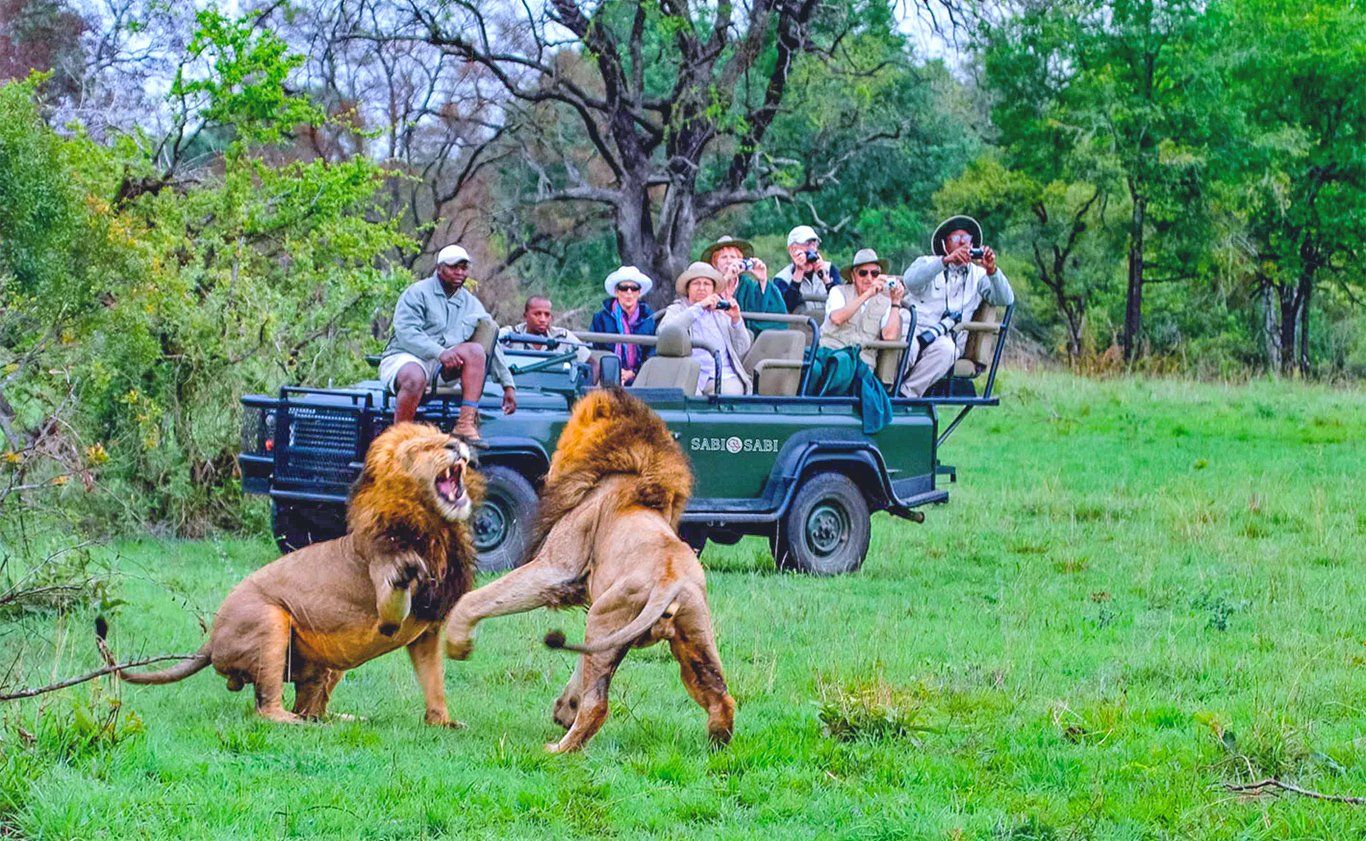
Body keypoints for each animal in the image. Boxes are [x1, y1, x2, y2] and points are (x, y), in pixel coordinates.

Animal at [99, 423, 482, 725]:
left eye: (444, 436)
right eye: (421, 448)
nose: (456, 445)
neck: (437, 528)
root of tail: (210, 640)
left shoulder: (428, 630)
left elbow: (434, 682)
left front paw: (442, 722)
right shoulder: (385, 593)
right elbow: (393, 600)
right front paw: (409, 568)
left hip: (327, 662)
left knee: (311, 706)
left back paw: (341, 718)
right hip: (270, 622)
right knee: (267, 709)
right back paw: (298, 723)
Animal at [443, 388, 735, 753]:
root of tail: (671, 583)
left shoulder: (555, 568)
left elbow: (474, 598)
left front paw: (457, 644)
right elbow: (580, 666)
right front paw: (565, 708)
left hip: (605, 616)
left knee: (598, 706)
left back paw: (557, 750)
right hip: (687, 634)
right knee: (720, 696)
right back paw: (716, 746)